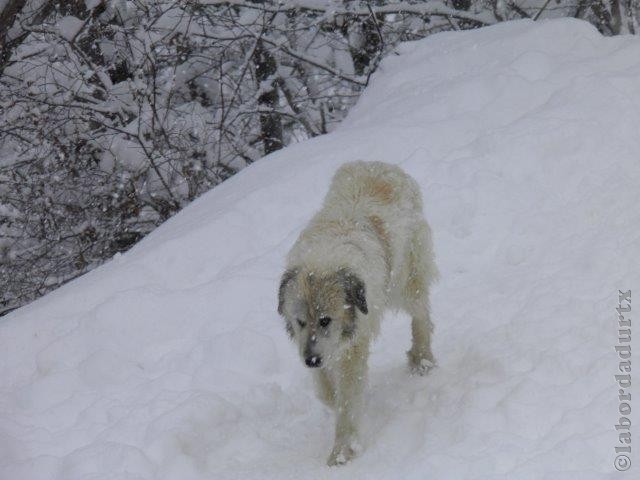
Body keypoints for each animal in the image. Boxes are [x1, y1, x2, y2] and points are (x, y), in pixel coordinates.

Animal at [278, 160, 438, 464]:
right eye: (300, 321)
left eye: (326, 320)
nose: (310, 361)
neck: (324, 260)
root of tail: (383, 165)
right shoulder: (318, 349)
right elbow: (325, 391)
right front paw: (332, 396)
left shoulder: (353, 346)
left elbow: (347, 401)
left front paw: (342, 451)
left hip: (405, 283)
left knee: (422, 315)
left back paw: (422, 358)